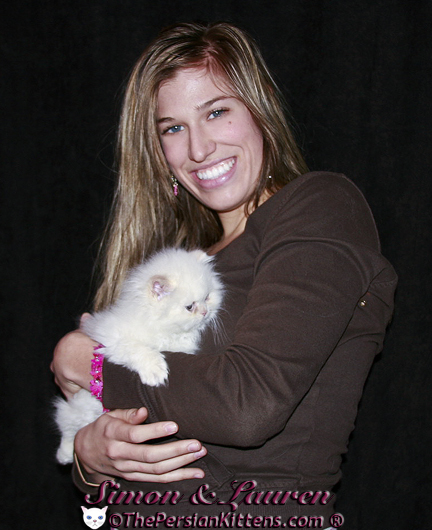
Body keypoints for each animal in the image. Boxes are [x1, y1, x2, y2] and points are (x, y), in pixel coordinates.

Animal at [55, 248, 223, 464]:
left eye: (207, 297)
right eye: (190, 307)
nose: (205, 312)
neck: (159, 325)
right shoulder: (114, 339)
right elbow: (141, 350)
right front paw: (156, 371)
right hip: (75, 410)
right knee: (69, 430)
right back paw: (64, 455)